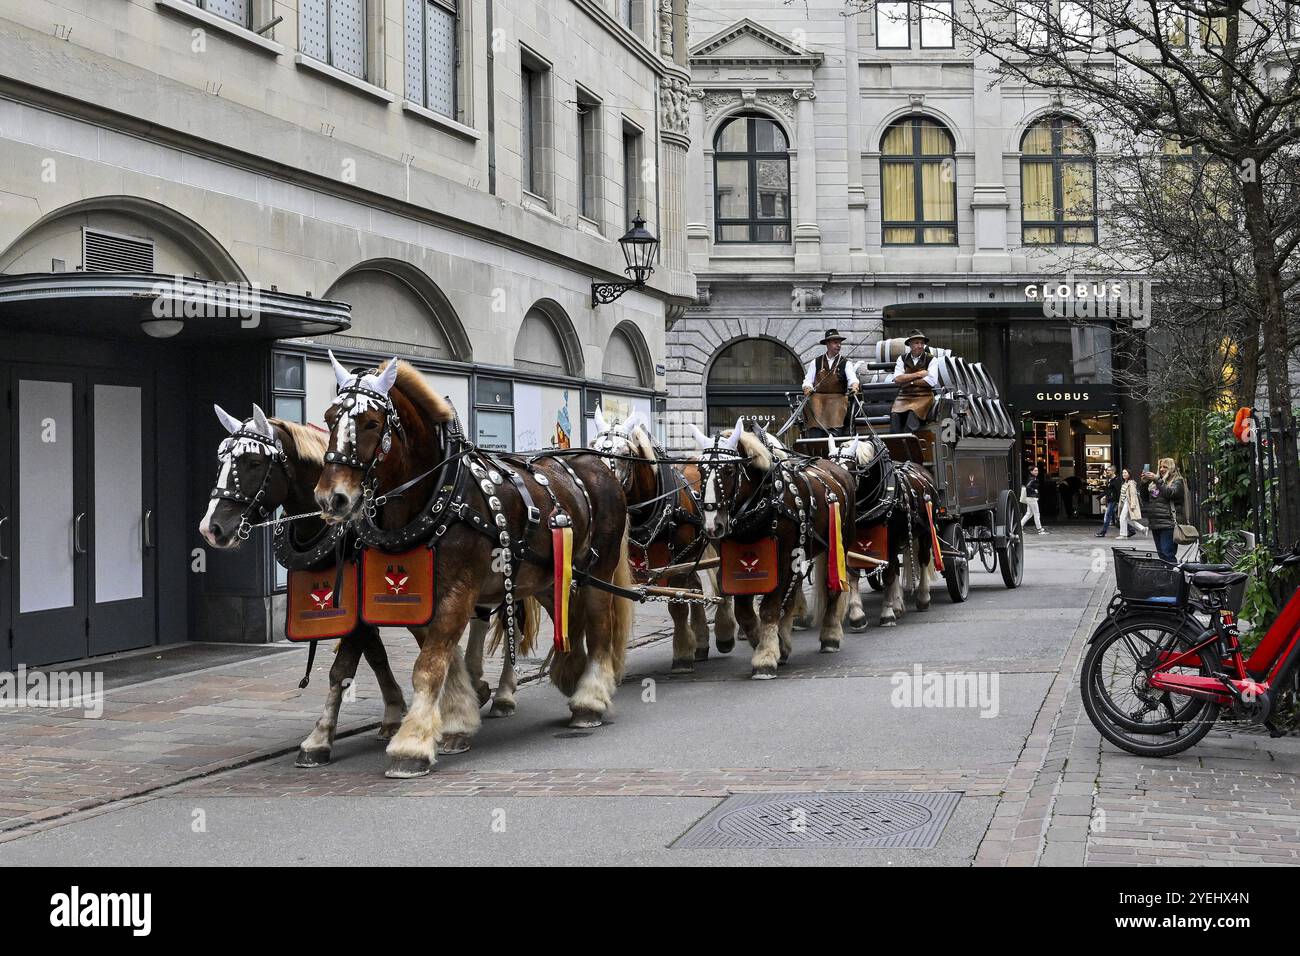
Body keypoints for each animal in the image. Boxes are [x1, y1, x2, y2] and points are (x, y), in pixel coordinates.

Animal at [317, 351, 637, 780]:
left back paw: (590, 699)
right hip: (549, 578)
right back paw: (571, 673)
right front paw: (457, 722)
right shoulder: (421, 597)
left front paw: (411, 745)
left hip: (598, 571)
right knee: (569, 620)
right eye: (329, 417)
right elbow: (447, 662)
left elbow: (429, 666)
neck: (439, 492)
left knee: (601, 626)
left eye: (370, 423)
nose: (330, 498)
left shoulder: (458, 590)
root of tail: (598, 465)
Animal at [592, 411, 738, 671]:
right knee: (696, 586)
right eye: (594, 449)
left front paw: (682, 653)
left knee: (719, 581)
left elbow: (677, 605)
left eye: (623, 454)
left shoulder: (675, 560)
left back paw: (723, 632)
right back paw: (702, 642)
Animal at [686, 421, 857, 681]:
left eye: (729, 471)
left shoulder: (783, 558)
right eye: (701, 471)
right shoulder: (740, 563)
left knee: (832, 589)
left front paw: (765, 656)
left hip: (838, 544)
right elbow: (746, 612)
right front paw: (771, 643)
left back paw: (830, 635)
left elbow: (769, 608)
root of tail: (835, 468)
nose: (712, 526)